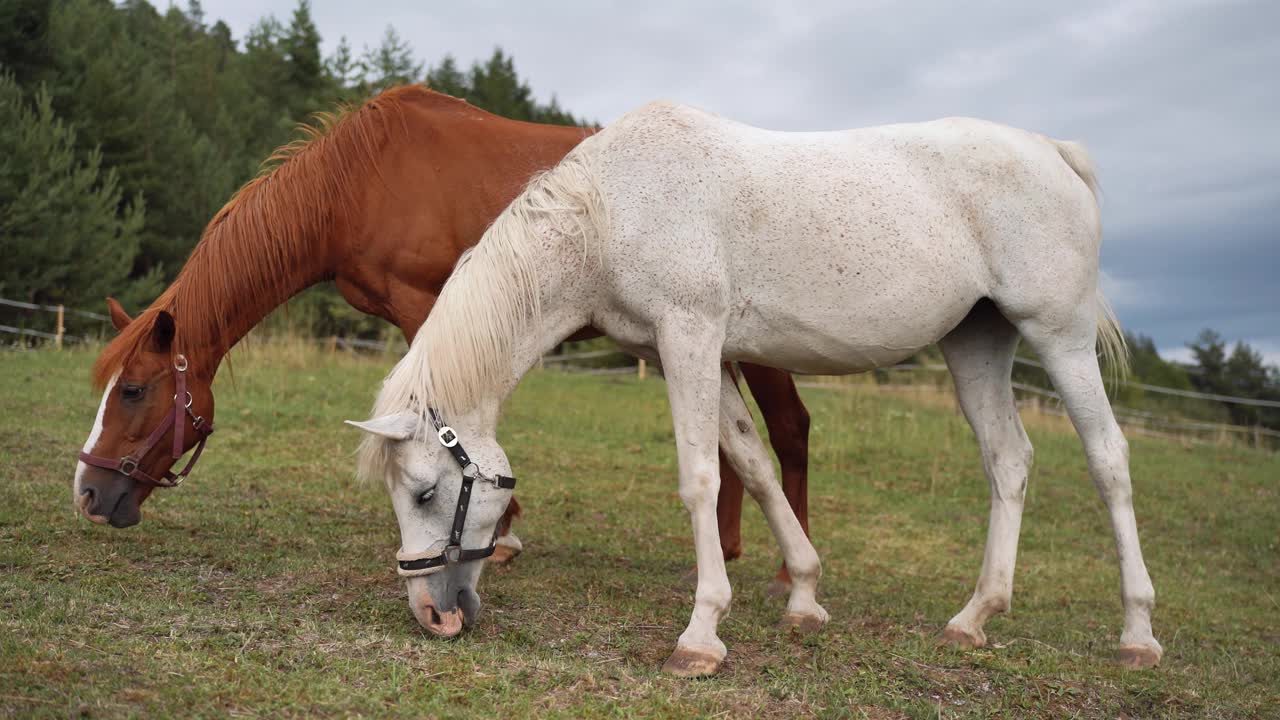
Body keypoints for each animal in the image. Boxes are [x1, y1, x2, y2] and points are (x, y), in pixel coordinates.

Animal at [72, 82, 808, 584]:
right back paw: (730, 548)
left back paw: (783, 570)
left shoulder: (424, 306)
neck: (359, 180)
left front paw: (499, 531)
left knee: (789, 426)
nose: (88, 494)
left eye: (133, 391)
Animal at [348, 101, 1162, 671]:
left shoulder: (690, 338)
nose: (432, 615)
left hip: (1059, 337)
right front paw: (803, 594)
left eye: (425, 491)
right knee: (1009, 460)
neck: (613, 209)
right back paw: (974, 618)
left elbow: (702, 478)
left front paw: (701, 634)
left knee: (1109, 460)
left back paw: (1137, 633)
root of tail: (1053, 152)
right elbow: (755, 465)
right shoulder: (693, 354)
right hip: (978, 344)